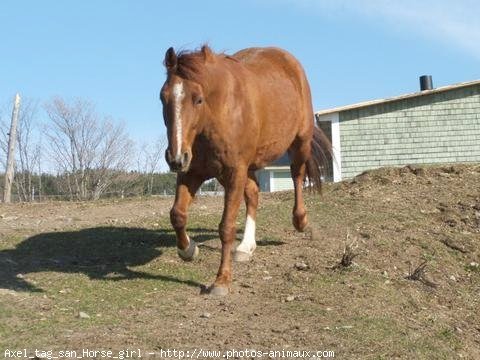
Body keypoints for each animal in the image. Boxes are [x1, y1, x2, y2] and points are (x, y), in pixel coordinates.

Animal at [161, 45, 330, 296]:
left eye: (198, 99)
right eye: (163, 98)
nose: (175, 158)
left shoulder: (234, 172)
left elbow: (226, 227)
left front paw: (221, 280)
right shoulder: (192, 172)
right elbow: (177, 215)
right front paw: (188, 249)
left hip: (300, 142)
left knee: (296, 176)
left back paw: (300, 221)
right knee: (253, 193)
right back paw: (245, 247)